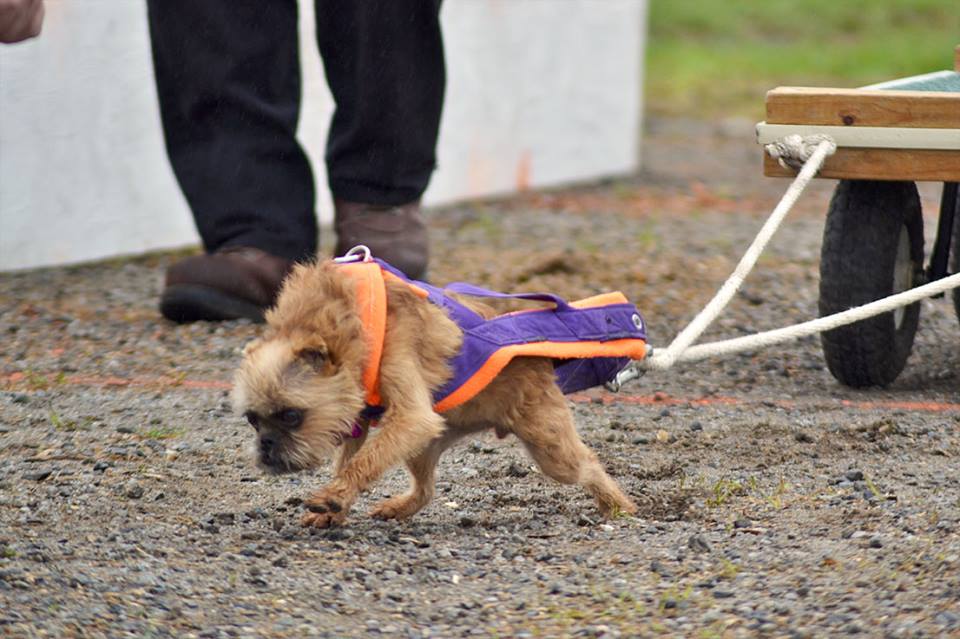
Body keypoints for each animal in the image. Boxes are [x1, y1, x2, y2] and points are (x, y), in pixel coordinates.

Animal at [232, 258, 636, 528]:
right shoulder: (358, 420)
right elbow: (350, 461)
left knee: (588, 465)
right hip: (422, 446)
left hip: (549, 447)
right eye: (252, 420)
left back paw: (619, 506)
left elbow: (363, 462)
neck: (345, 318)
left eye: (291, 415)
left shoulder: (409, 414)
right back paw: (397, 508)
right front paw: (336, 507)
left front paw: (333, 498)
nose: (266, 446)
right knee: (425, 490)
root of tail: (535, 357)